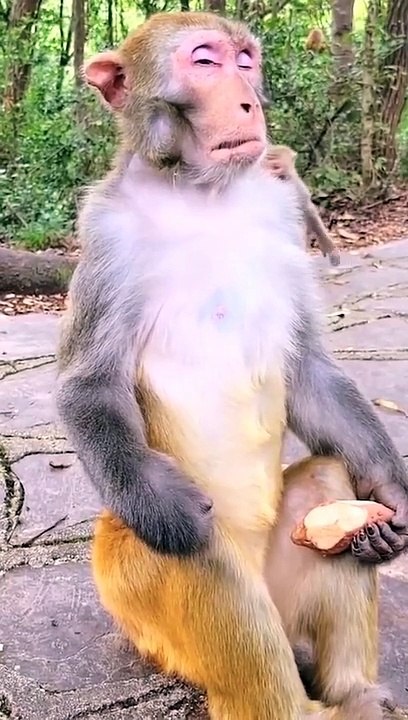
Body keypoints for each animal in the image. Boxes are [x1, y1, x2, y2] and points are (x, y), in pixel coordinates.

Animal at [56, 11, 408, 720]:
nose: (249, 101)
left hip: (287, 577)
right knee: (206, 554)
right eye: (204, 61)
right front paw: (167, 507)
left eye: (246, 60)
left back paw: (357, 691)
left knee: (325, 480)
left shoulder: (279, 211)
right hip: (142, 603)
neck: (202, 196)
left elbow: (308, 370)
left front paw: (389, 491)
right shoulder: (105, 232)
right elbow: (90, 386)